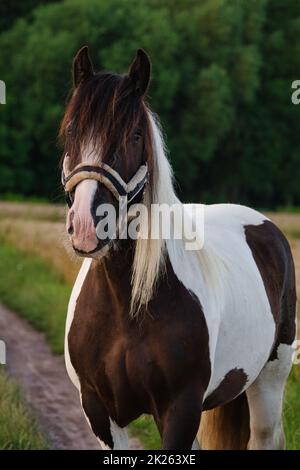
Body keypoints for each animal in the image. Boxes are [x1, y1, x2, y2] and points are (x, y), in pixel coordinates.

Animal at [59, 47, 296, 452]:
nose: (89, 224)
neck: (126, 303)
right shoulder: (100, 412)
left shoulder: (181, 409)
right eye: (72, 129)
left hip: (269, 381)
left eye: (134, 135)